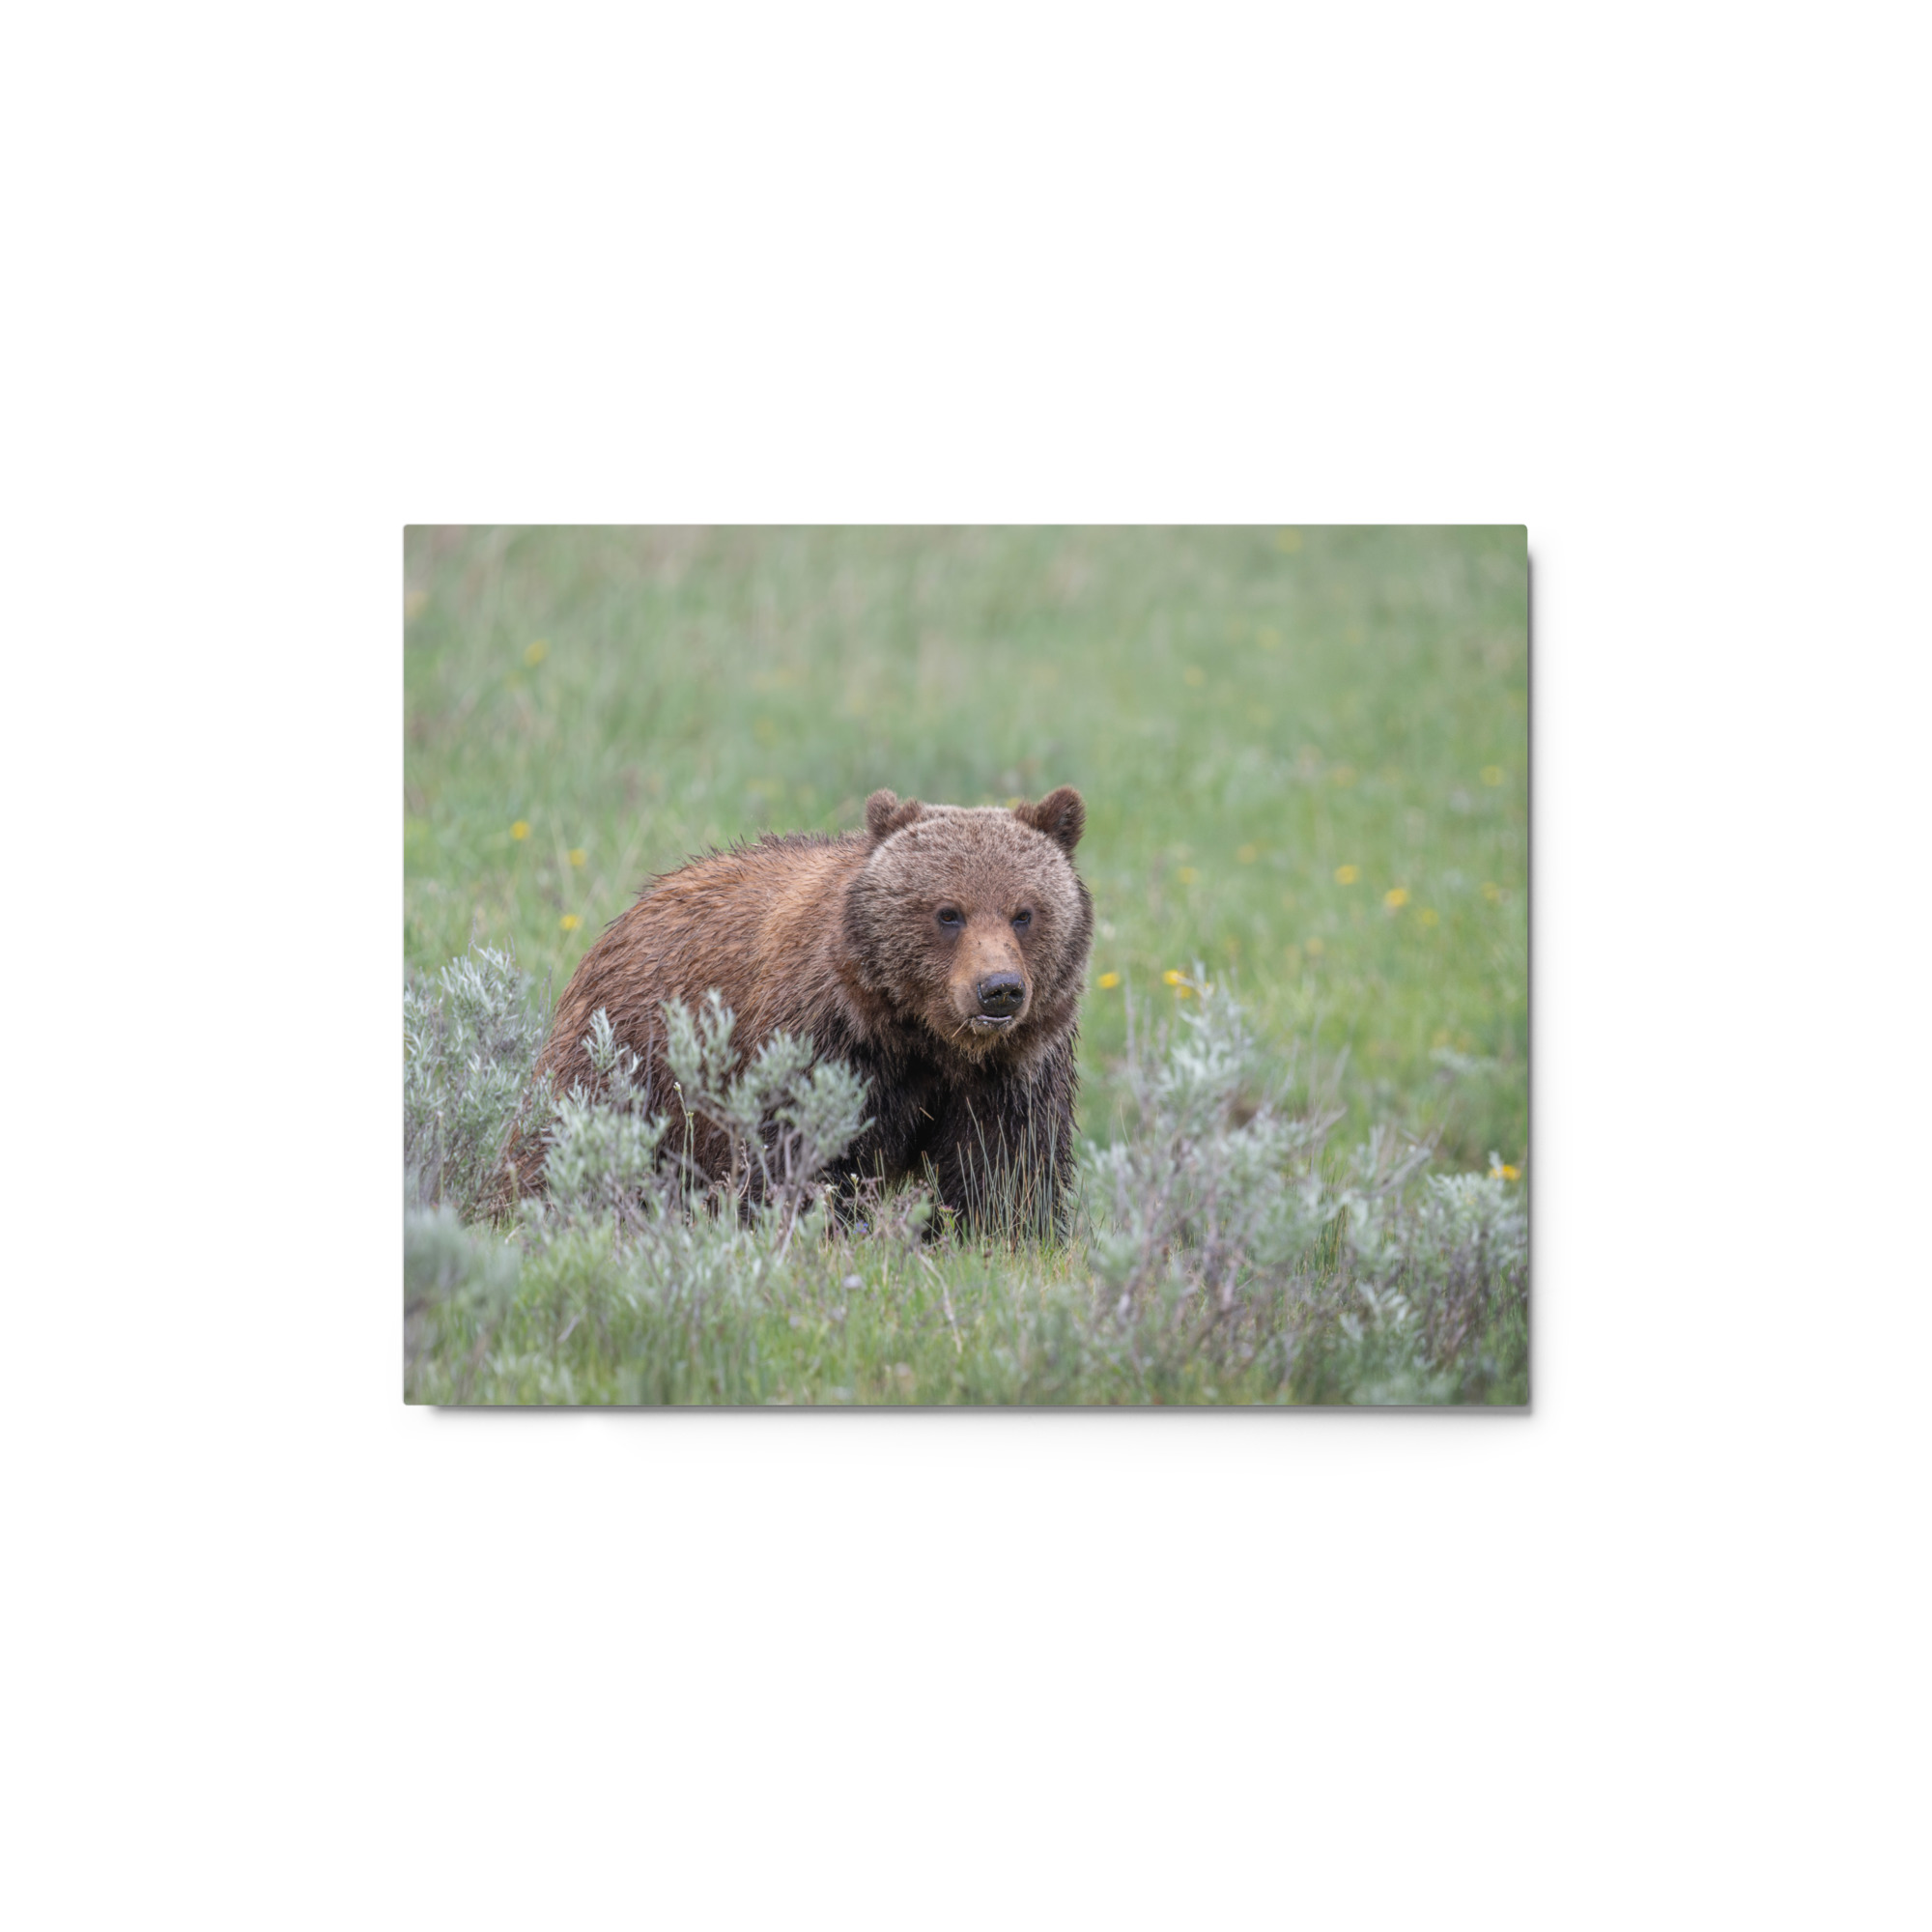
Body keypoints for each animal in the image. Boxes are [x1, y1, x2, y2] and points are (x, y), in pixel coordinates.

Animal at [527, 786, 1094, 1233]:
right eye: (948, 913)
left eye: (1024, 913)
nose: (998, 989)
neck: (924, 1037)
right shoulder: (825, 1043)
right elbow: (796, 1154)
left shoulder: (1013, 1069)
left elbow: (1006, 1170)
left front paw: (999, 1234)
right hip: (629, 1056)